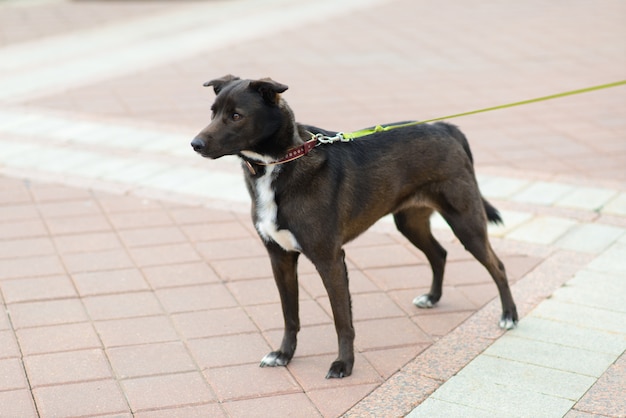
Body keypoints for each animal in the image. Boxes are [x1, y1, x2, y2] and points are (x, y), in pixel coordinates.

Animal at [191, 75, 516, 378]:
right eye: (212, 112)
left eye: (236, 115)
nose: (195, 144)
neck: (281, 162)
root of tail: (445, 127)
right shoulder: (279, 257)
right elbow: (290, 315)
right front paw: (284, 355)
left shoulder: (330, 260)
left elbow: (342, 320)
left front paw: (343, 364)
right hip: (409, 221)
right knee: (439, 253)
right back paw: (432, 298)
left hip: (466, 222)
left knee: (497, 265)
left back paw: (509, 316)